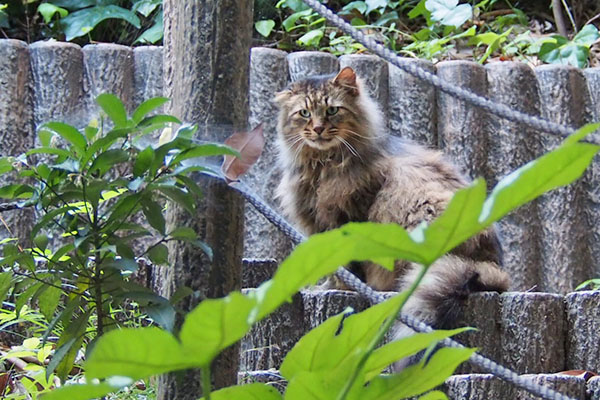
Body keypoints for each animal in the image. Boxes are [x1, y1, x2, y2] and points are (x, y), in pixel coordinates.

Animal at [274, 66, 508, 368]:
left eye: (332, 110)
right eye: (304, 113)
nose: (317, 128)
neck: (323, 166)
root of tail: (491, 265)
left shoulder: (350, 216)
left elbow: (348, 267)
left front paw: (344, 289)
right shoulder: (319, 226)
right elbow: (333, 269)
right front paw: (325, 286)